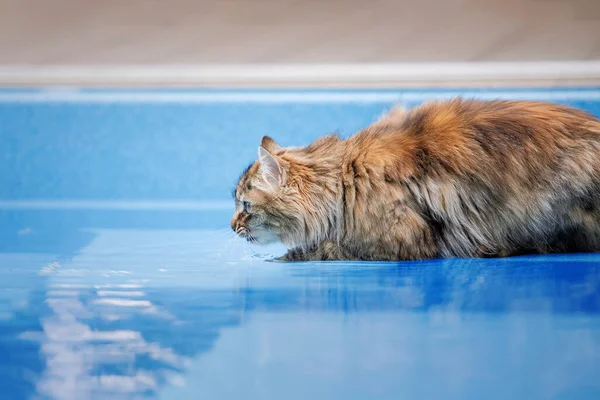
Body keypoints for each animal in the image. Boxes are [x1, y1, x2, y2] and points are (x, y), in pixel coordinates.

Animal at [230, 99, 600, 262]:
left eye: (245, 205)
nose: (232, 226)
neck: (345, 178)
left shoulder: (402, 238)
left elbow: (327, 247)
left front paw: (285, 257)